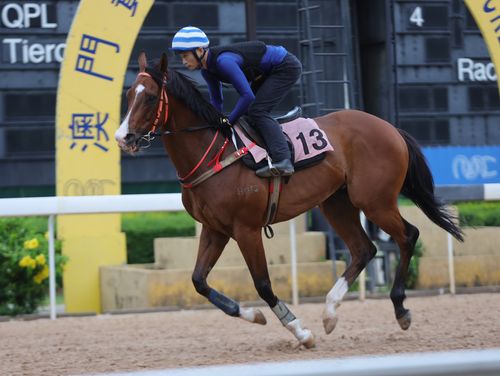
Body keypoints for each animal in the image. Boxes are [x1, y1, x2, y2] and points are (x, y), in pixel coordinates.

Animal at [115, 51, 462, 348]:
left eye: (149, 97)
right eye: (129, 95)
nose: (122, 138)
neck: (213, 153)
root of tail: (390, 128)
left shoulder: (246, 229)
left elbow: (263, 284)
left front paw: (300, 331)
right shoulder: (215, 229)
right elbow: (198, 280)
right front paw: (254, 315)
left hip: (375, 200)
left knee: (408, 236)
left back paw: (400, 309)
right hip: (336, 202)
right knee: (364, 249)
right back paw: (330, 312)